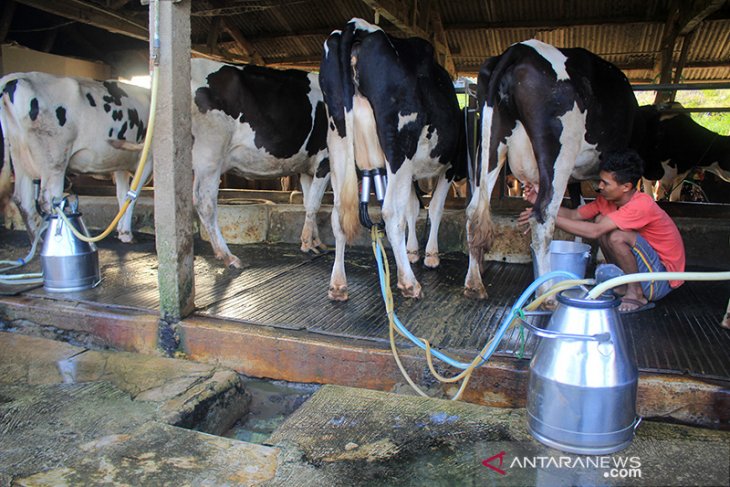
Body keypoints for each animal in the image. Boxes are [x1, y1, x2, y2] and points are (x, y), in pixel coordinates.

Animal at [0, 70, 151, 242]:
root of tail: (18, 77)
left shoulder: (120, 164)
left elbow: (122, 196)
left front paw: (120, 230)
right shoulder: (146, 159)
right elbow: (132, 196)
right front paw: (126, 234)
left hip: (20, 156)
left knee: (23, 201)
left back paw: (38, 241)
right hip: (55, 160)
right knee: (49, 200)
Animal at [192, 59, 332, 270]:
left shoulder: (307, 168)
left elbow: (308, 203)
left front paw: (315, 242)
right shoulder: (326, 161)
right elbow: (315, 204)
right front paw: (308, 244)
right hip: (209, 154)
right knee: (205, 203)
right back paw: (228, 256)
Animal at [320, 18, 466, 302]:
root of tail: (357, 26)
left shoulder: (410, 173)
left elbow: (412, 207)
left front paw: (412, 251)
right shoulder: (448, 165)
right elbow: (434, 207)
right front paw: (430, 256)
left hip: (337, 138)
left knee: (339, 214)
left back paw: (338, 284)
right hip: (398, 144)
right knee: (389, 212)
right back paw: (409, 282)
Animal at [464, 40, 636, 300]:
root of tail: (519, 48)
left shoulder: (576, 180)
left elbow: (580, 207)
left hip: (489, 147)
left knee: (474, 212)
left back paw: (474, 284)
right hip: (559, 152)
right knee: (543, 217)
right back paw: (547, 295)